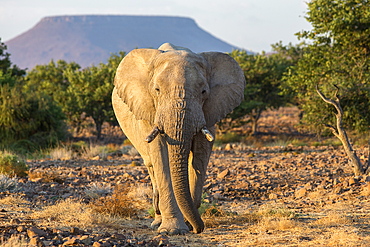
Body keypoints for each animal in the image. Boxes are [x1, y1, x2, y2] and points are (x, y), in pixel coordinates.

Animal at [112, 42, 246, 233]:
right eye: (157, 90)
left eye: (204, 91)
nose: (198, 229)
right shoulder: (150, 111)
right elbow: (161, 156)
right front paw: (172, 230)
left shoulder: (209, 110)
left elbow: (200, 156)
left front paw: (188, 224)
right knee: (151, 165)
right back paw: (157, 222)